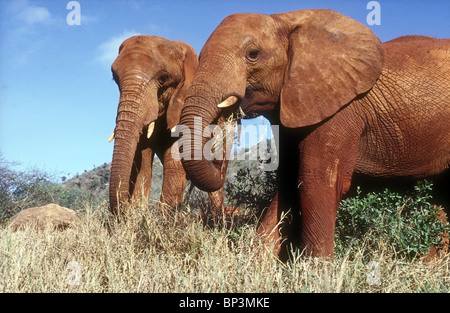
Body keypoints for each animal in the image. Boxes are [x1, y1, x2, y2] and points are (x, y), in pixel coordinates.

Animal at [177, 10, 450, 258]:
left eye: (253, 54)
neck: (284, 20)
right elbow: (289, 181)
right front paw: (259, 264)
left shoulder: (340, 109)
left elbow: (315, 181)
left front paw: (318, 272)